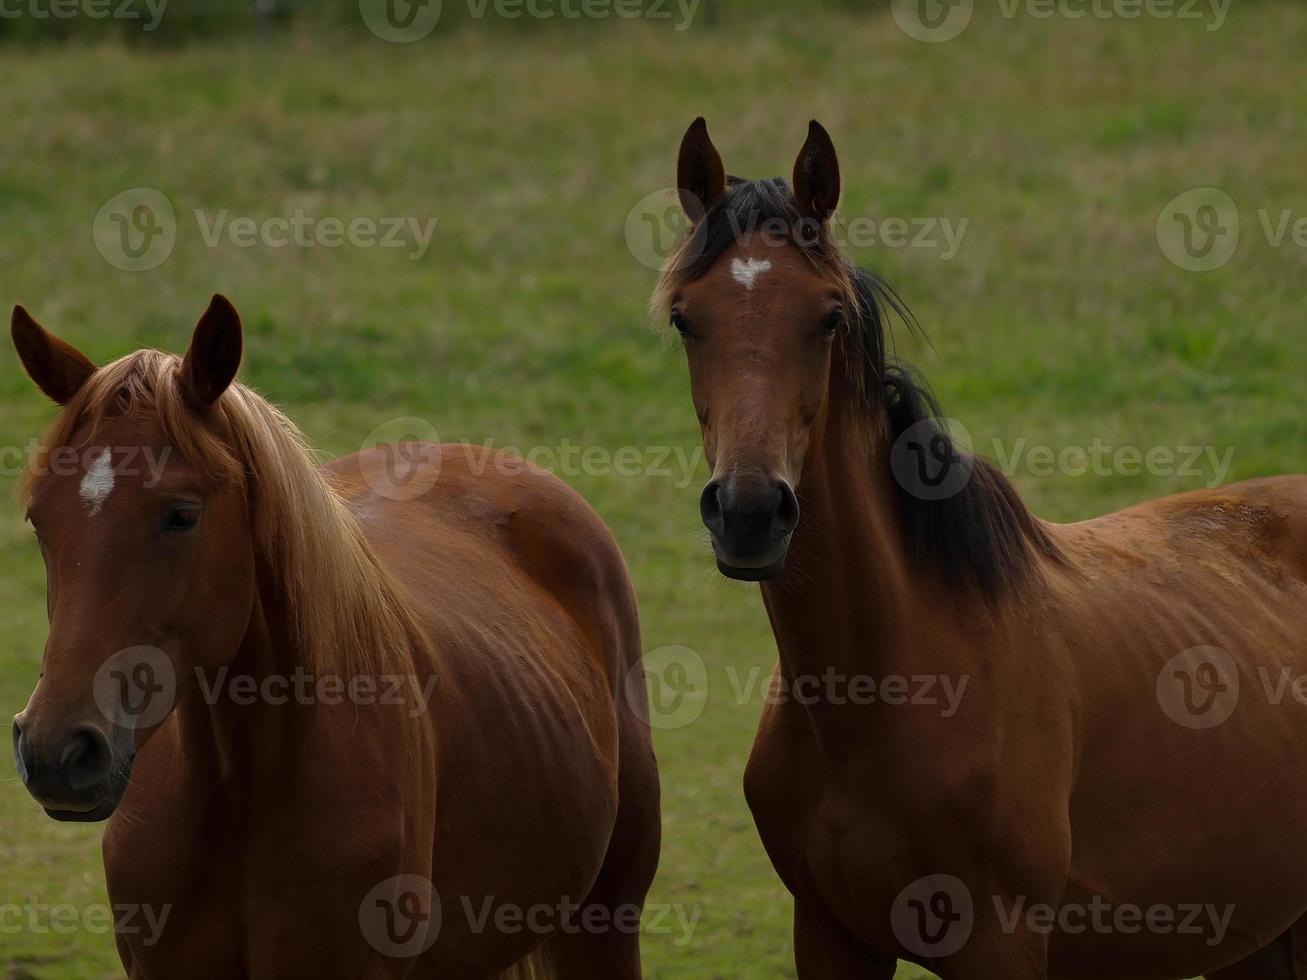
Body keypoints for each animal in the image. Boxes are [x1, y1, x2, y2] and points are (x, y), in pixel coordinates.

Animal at [658, 116, 1307, 980]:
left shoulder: (999, 944)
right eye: (683, 317)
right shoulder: (828, 935)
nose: (750, 511)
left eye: (827, 317)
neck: (885, 687)